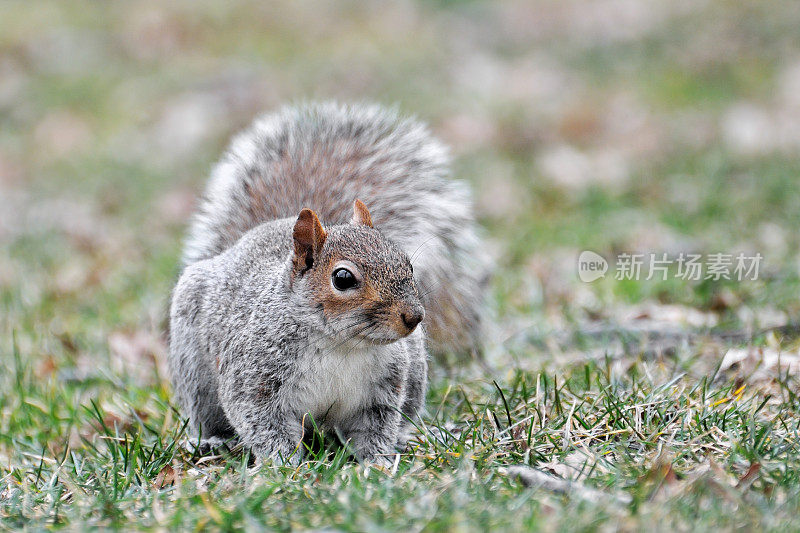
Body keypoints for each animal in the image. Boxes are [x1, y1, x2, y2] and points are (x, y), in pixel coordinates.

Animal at [169, 102, 488, 464]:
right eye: (343, 278)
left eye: (407, 261)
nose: (414, 317)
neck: (342, 345)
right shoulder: (253, 380)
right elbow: (263, 424)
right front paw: (284, 466)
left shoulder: (382, 392)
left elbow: (377, 428)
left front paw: (377, 463)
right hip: (195, 373)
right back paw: (214, 441)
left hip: (416, 369)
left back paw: (407, 436)